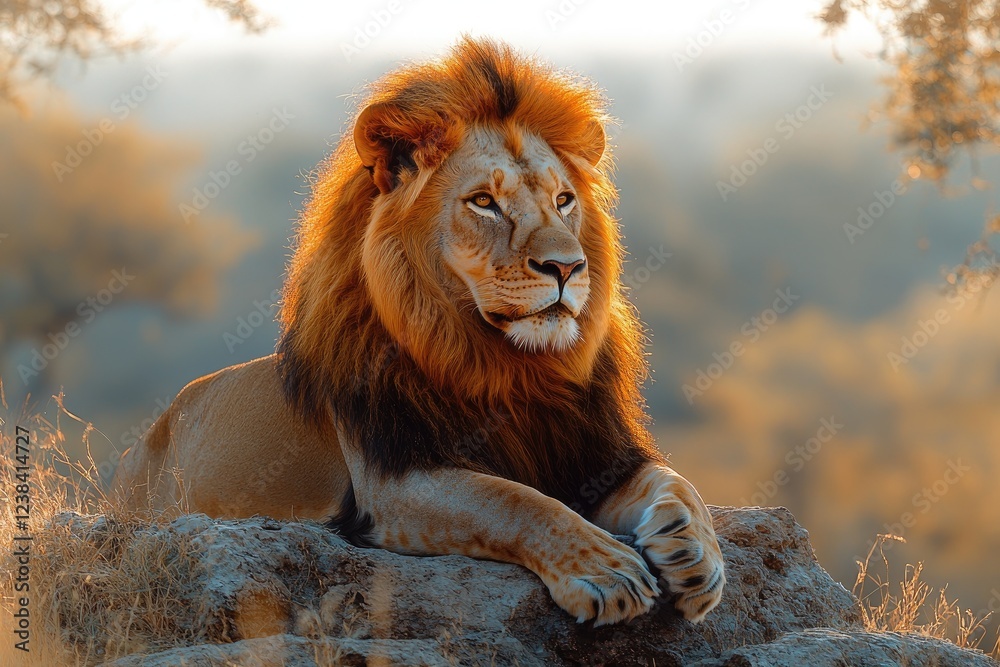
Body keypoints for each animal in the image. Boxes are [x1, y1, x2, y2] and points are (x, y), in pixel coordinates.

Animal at [112, 37, 725, 626]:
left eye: (563, 200)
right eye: (484, 202)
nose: (568, 267)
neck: (511, 368)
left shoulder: (595, 454)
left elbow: (677, 482)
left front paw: (696, 556)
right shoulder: (393, 482)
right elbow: (515, 500)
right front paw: (605, 572)